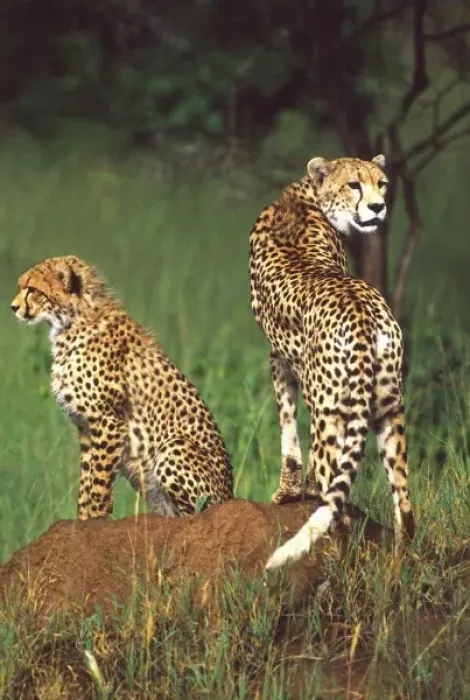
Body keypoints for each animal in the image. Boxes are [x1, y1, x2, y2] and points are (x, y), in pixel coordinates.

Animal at [11, 255, 233, 519]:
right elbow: (86, 484)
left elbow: (99, 484)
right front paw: (82, 520)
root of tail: (230, 496)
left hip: (173, 448)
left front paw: (95, 520)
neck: (71, 322)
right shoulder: (86, 429)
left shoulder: (108, 422)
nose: (13, 307)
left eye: (32, 290)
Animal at [249, 154, 415, 570]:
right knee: (404, 505)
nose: (379, 207)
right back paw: (399, 568)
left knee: (335, 504)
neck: (308, 193)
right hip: (389, 407)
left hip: (330, 412)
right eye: (355, 184)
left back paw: (332, 565)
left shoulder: (279, 359)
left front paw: (289, 492)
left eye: (381, 184)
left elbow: (288, 427)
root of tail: (362, 311)